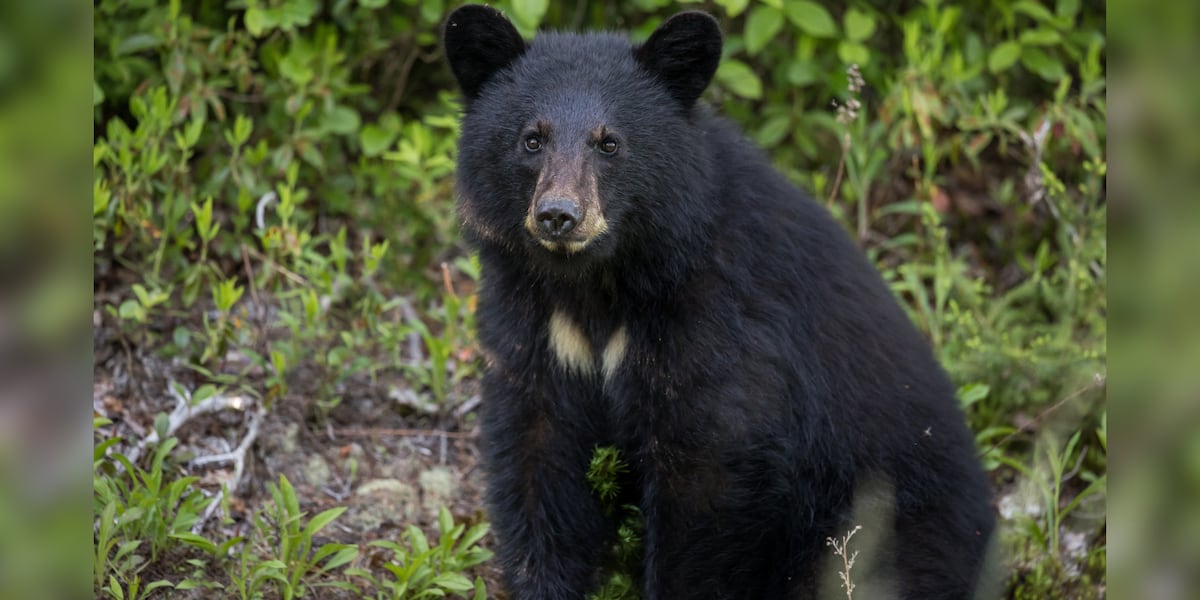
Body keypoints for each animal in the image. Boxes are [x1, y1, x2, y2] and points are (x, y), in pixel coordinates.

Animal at [443, 5, 996, 599]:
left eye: (610, 143)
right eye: (531, 139)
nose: (559, 215)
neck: (602, 281)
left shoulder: (722, 319)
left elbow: (710, 476)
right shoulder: (534, 321)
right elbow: (537, 456)